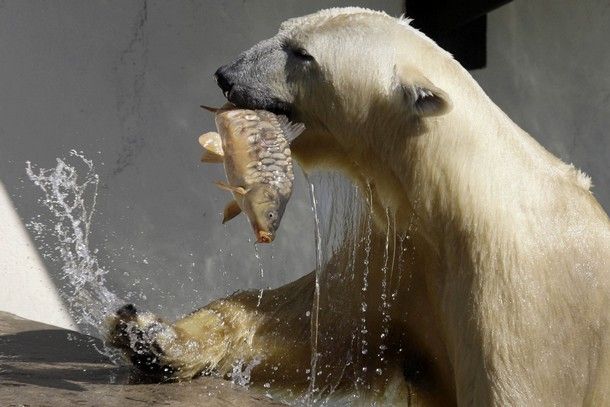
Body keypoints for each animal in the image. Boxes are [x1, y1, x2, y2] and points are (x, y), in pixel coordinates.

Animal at [109, 7, 608, 407]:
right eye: (283, 30)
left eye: (302, 54)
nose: (226, 75)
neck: (460, 194)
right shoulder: (403, 253)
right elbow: (316, 325)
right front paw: (152, 335)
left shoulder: (522, 303)